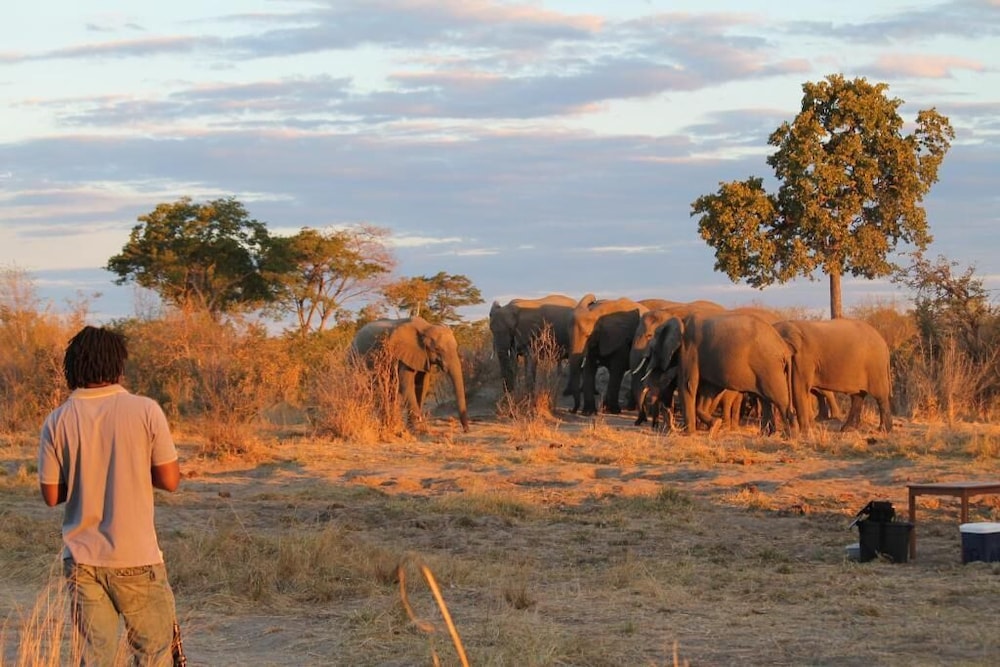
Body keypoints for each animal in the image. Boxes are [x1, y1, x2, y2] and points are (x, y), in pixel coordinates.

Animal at [650, 312, 795, 435]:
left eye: (653, 350)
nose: (667, 409)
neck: (680, 320)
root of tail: (785, 349)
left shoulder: (688, 350)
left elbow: (688, 385)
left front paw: (689, 434)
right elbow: (708, 390)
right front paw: (715, 427)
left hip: (770, 368)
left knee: (780, 400)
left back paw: (790, 436)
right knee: (766, 400)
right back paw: (766, 435)